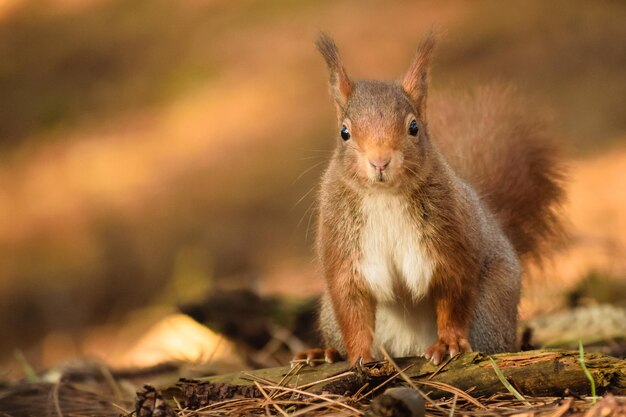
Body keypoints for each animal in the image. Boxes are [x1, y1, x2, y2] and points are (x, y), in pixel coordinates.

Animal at [294, 32, 564, 364]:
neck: (384, 196)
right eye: (344, 132)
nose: (380, 161)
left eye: (414, 127)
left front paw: (448, 343)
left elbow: (453, 297)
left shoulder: (450, 245)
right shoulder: (345, 255)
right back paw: (325, 352)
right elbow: (352, 308)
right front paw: (358, 357)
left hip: (491, 309)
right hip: (329, 313)